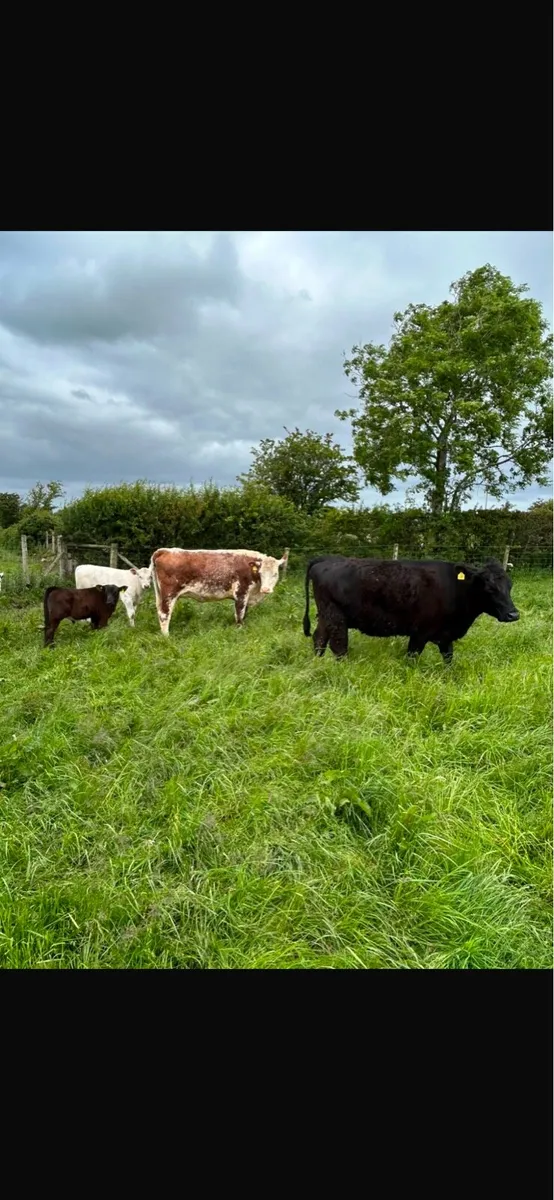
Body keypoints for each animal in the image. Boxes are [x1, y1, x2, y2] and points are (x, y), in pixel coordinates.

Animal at [150, 547, 288, 636]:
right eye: (260, 573)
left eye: (275, 574)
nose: (266, 589)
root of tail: (165, 550)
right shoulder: (241, 593)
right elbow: (239, 614)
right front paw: (239, 631)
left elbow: (244, 614)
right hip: (169, 594)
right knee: (164, 615)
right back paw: (166, 637)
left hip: (161, 595)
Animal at [303, 555, 520, 664]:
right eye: (489, 588)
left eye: (510, 585)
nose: (513, 614)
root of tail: (325, 559)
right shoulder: (419, 633)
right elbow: (412, 658)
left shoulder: (445, 635)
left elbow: (449, 658)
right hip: (336, 617)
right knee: (339, 647)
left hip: (326, 616)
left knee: (319, 638)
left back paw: (317, 664)